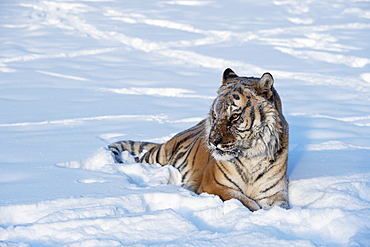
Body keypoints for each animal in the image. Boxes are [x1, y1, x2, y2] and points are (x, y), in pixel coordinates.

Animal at [108, 68, 290, 211]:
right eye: (215, 115)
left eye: (234, 117)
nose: (212, 142)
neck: (252, 156)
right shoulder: (215, 186)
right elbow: (247, 203)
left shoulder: (276, 193)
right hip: (158, 156)